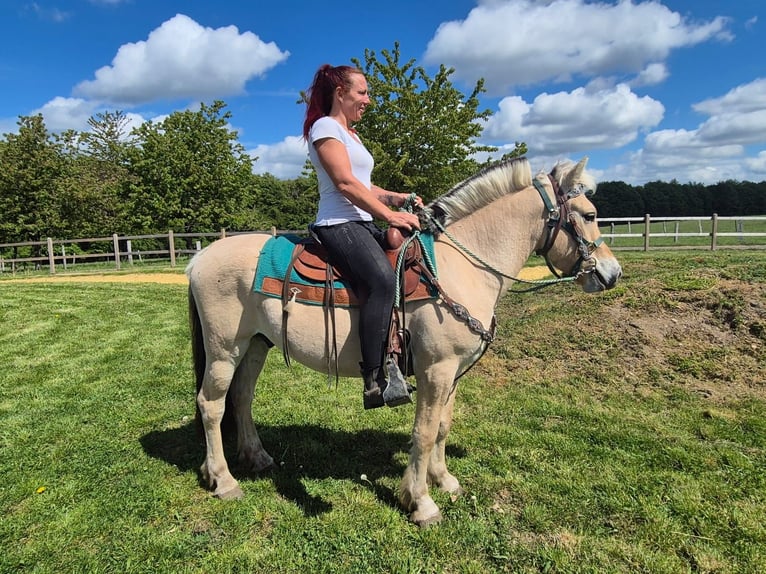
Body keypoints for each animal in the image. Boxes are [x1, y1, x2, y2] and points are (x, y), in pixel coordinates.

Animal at [186, 156, 622, 526]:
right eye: (589, 215)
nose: (612, 273)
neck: (458, 268)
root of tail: (200, 258)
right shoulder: (436, 370)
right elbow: (424, 432)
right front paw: (421, 502)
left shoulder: (452, 374)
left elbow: (443, 426)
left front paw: (444, 481)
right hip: (224, 349)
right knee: (211, 404)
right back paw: (223, 480)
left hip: (256, 344)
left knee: (241, 398)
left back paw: (256, 458)